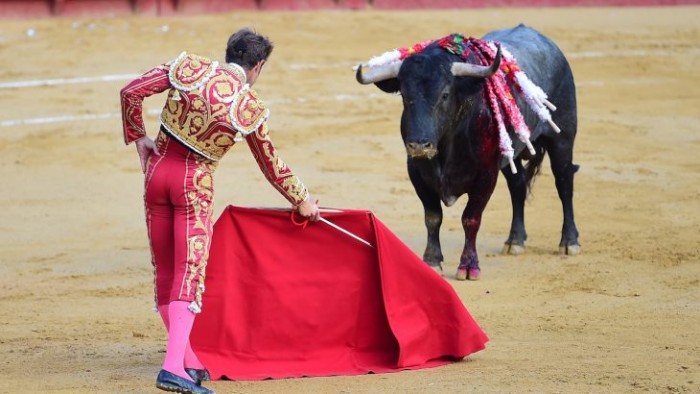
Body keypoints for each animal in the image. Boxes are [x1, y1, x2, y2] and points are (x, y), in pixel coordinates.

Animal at [356, 23, 580, 280]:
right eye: (404, 95)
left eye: (445, 94)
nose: (420, 145)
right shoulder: (416, 172)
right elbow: (433, 217)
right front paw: (432, 261)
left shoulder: (486, 175)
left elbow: (471, 218)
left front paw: (468, 266)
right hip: (510, 154)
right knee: (518, 186)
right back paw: (515, 241)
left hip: (562, 139)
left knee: (564, 183)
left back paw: (569, 242)